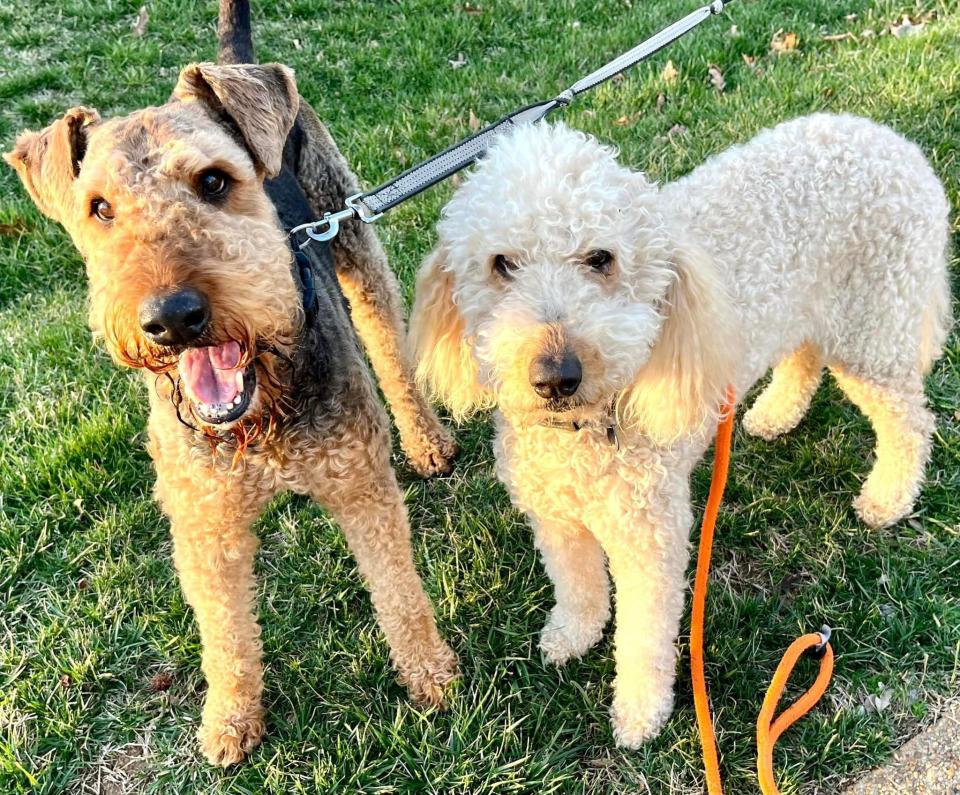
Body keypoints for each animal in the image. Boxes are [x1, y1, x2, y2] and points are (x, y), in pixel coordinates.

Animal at [406, 116, 952, 748]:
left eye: (601, 257)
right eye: (502, 264)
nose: (556, 376)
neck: (583, 433)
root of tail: (894, 142)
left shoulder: (650, 538)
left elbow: (644, 636)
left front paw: (640, 714)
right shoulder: (556, 517)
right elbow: (577, 585)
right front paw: (573, 635)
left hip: (871, 330)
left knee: (910, 420)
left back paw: (889, 497)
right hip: (810, 309)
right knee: (805, 356)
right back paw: (775, 414)